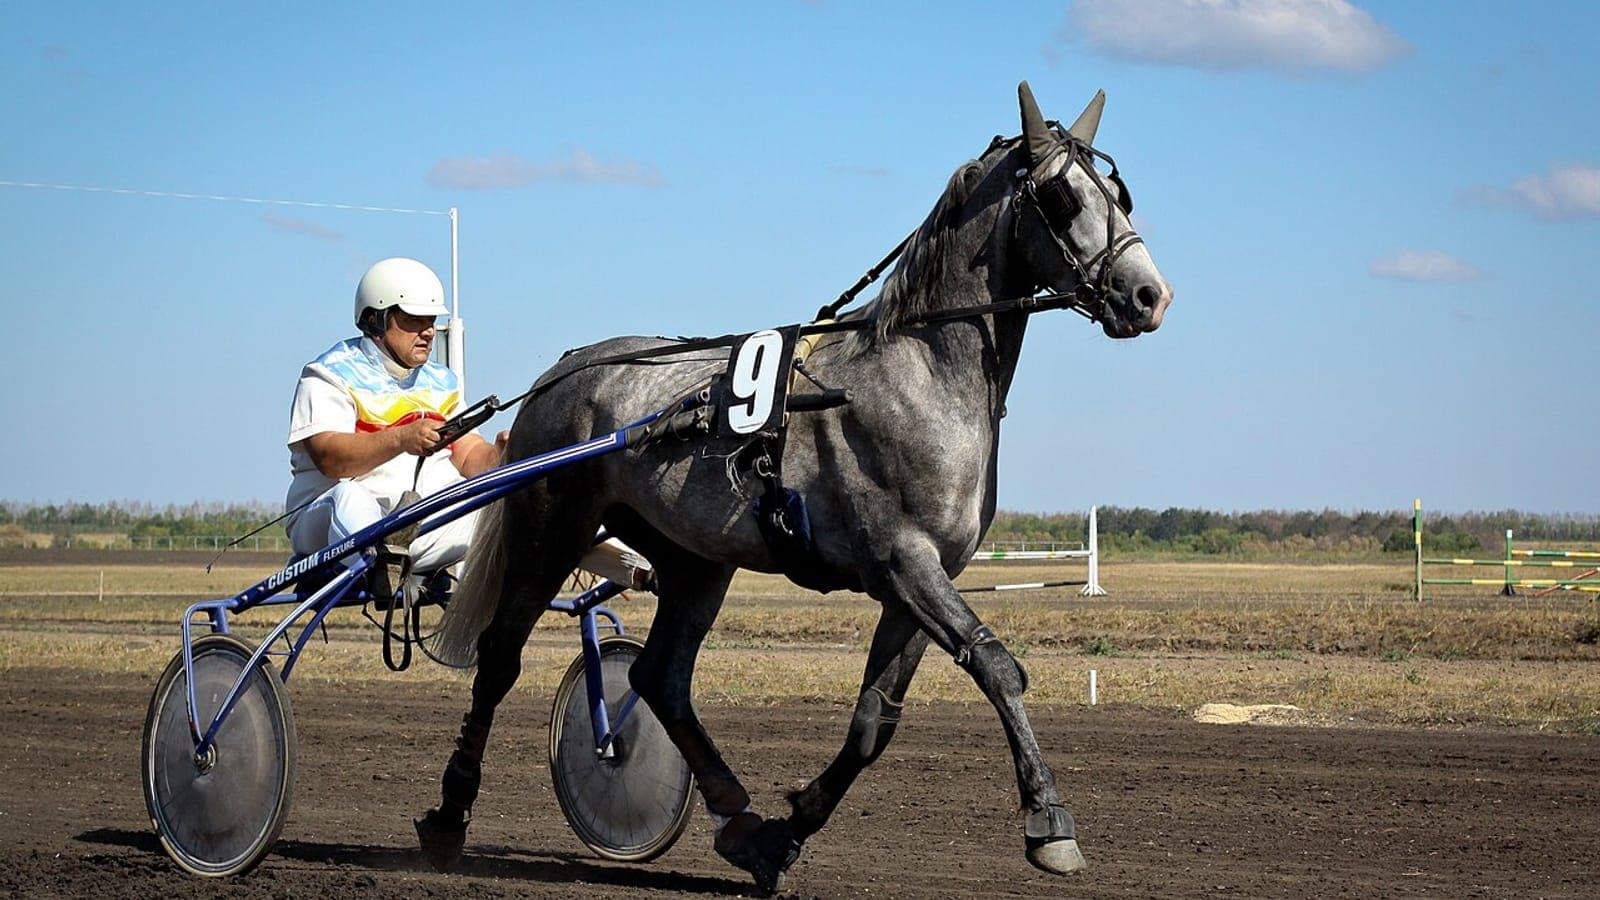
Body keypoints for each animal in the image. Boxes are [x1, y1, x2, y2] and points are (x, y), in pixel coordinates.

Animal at [417, 81, 1171, 894]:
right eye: (1063, 196)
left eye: (1120, 194)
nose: (1148, 294)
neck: (920, 374)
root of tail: (565, 368)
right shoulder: (905, 563)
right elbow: (998, 666)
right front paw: (1049, 822)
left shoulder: (922, 580)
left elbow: (875, 720)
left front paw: (789, 827)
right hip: (548, 526)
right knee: (500, 657)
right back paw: (449, 813)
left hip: (693, 558)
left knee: (661, 677)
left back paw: (739, 820)